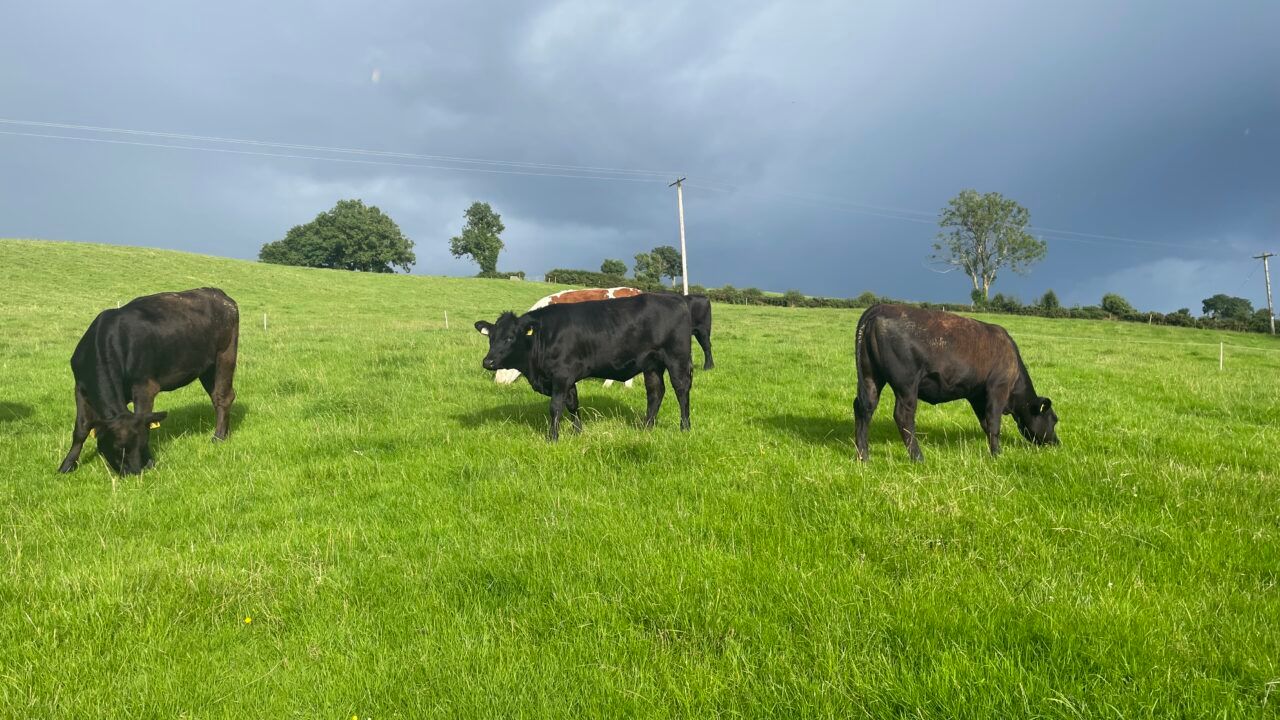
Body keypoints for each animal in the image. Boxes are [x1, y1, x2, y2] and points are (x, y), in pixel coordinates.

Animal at [56, 288, 240, 475]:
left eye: (142, 444)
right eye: (118, 448)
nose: (135, 472)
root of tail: (217, 293)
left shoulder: (145, 386)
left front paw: (150, 462)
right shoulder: (80, 387)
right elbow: (81, 428)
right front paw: (66, 465)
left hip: (225, 354)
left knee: (222, 397)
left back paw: (218, 437)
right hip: (206, 367)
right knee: (220, 396)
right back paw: (225, 432)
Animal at [853, 304, 1058, 461]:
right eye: (1054, 419)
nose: (1057, 443)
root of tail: (881, 307)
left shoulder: (977, 396)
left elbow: (985, 423)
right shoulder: (998, 389)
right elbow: (994, 423)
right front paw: (997, 455)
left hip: (871, 378)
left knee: (864, 408)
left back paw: (864, 457)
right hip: (907, 385)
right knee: (903, 416)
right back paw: (918, 457)